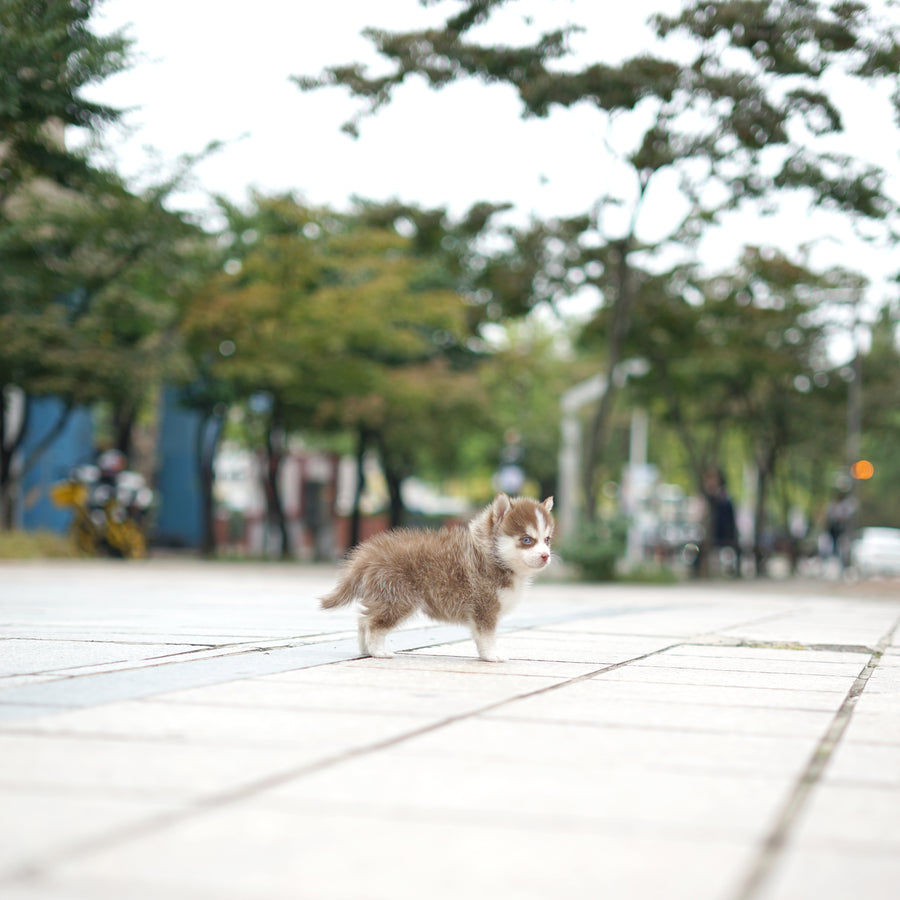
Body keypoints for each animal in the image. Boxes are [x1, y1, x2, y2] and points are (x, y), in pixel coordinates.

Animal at [320, 492, 552, 660]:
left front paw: (484, 655)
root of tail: (369, 552)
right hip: (398, 599)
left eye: (547, 539)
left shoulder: (480, 612)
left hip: (383, 597)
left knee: (363, 620)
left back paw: (365, 650)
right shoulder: (485, 607)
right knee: (373, 624)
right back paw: (379, 651)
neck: (492, 556)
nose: (546, 555)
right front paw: (492, 655)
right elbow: (487, 636)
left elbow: (479, 637)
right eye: (527, 539)